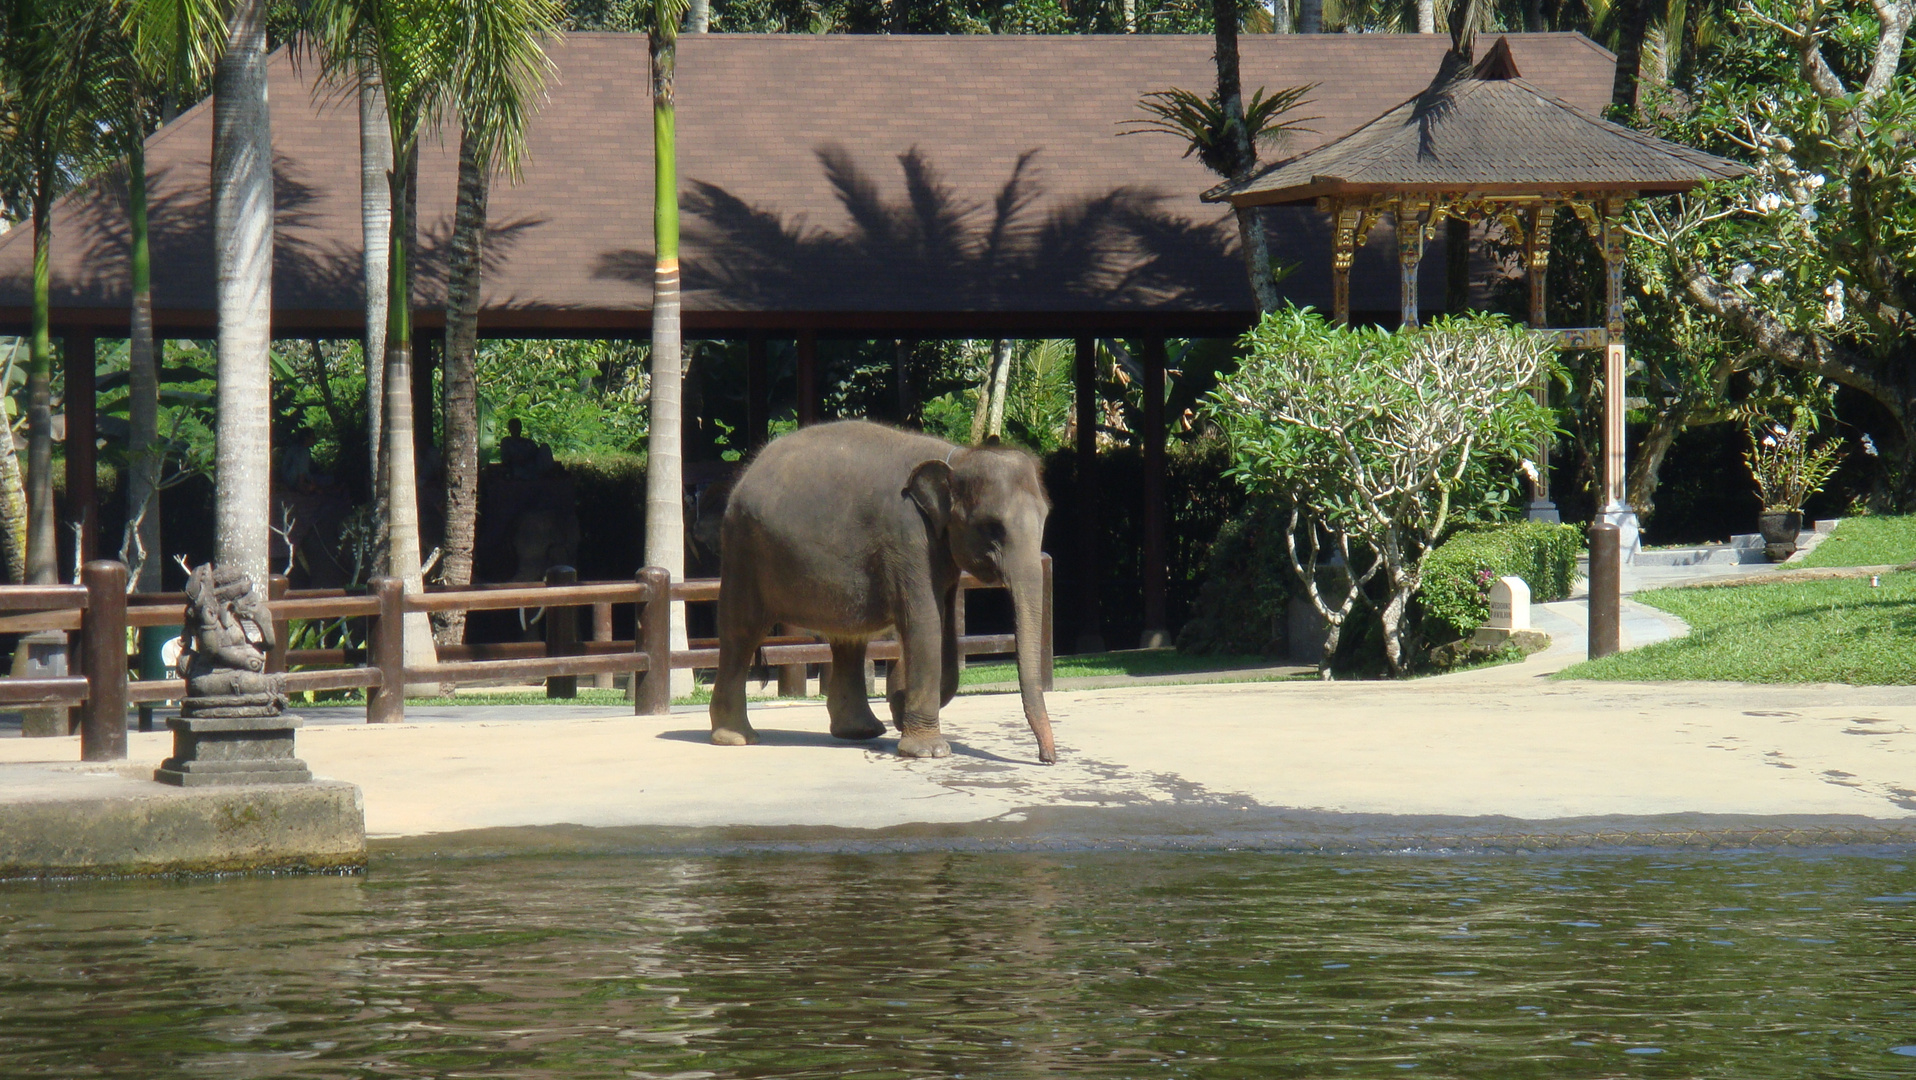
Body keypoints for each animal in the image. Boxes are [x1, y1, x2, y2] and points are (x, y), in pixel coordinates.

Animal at [708, 417, 1057, 762]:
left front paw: (900, 709)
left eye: (1045, 519)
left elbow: (945, 629)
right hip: (743, 550)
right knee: (741, 632)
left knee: (848, 639)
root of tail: (750, 470)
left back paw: (860, 732)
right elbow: (925, 623)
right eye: (992, 527)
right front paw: (929, 751)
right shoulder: (908, 536)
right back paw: (736, 739)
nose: (1047, 759)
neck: (956, 457)